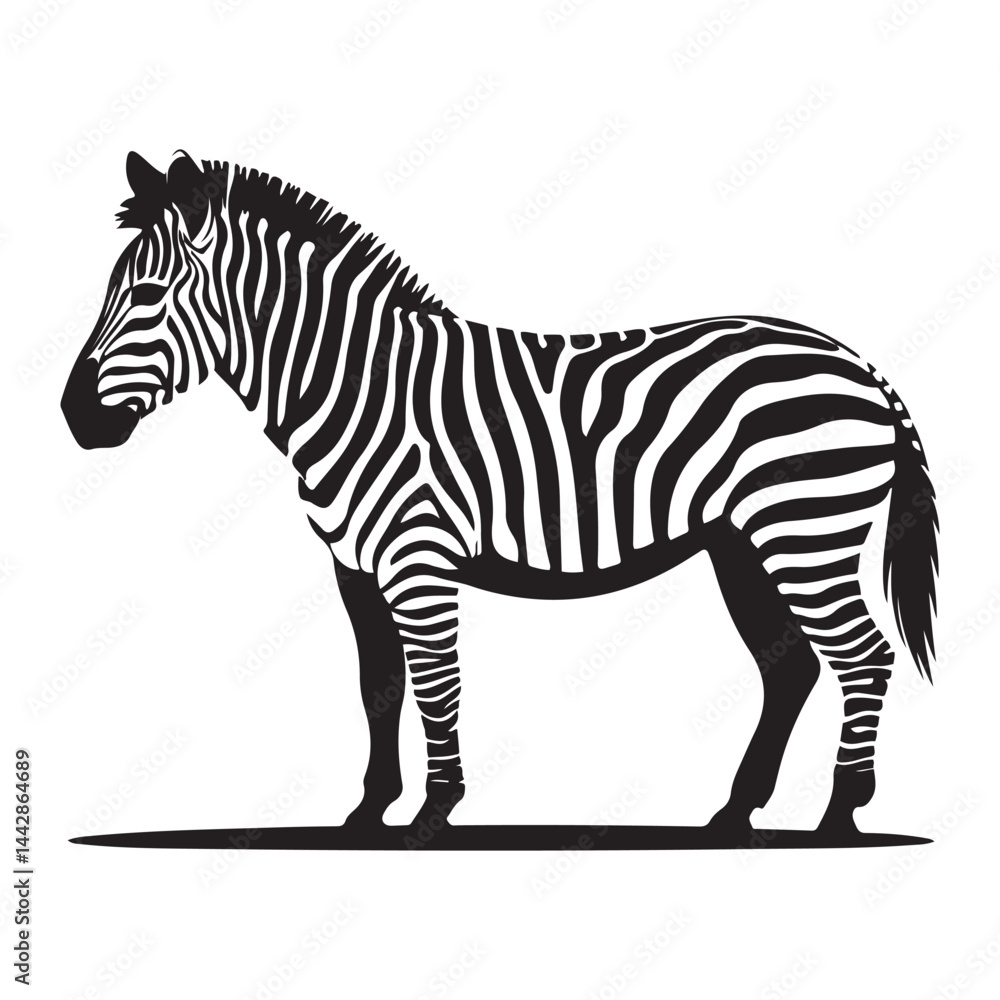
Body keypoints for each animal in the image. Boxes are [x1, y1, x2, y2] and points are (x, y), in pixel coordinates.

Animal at [61, 151, 938, 840]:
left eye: (145, 296)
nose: (73, 418)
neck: (355, 388)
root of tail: (860, 364)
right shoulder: (354, 567)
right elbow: (378, 687)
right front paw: (368, 812)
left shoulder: (418, 559)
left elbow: (435, 681)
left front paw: (434, 809)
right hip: (743, 545)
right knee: (791, 668)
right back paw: (732, 813)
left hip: (805, 532)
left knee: (864, 654)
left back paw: (839, 813)